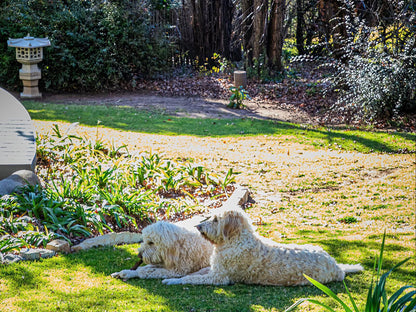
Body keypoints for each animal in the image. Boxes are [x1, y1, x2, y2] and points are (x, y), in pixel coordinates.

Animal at [162, 208, 364, 286]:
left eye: (216, 219)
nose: (198, 227)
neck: (235, 240)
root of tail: (337, 266)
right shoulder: (214, 270)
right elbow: (195, 273)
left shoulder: (219, 277)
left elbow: (191, 279)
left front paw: (173, 280)